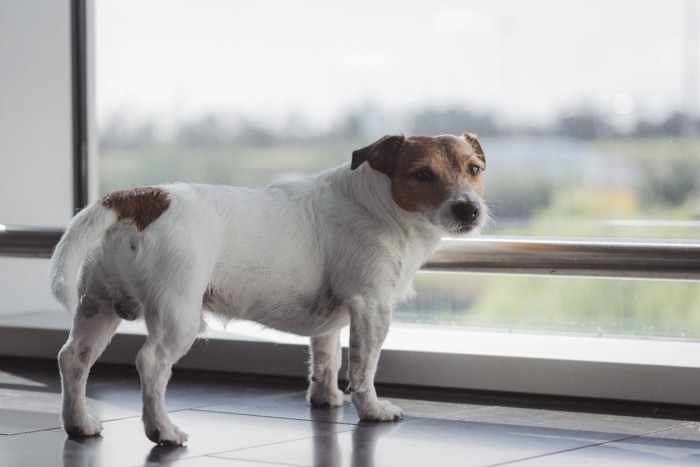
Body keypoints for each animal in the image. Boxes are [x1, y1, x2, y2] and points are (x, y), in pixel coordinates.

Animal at [47, 133, 486, 446]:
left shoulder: (332, 320)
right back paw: (163, 431)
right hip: (177, 316)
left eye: (475, 168)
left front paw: (326, 398)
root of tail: (138, 198)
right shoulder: (372, 307)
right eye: (423, 174)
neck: (376, 205)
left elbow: (326, 359)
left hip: (98, 306)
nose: (469, 209)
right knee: (151, 363)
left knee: (73, 357)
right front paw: (372, 409)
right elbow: (364, 367)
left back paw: (78, 422)